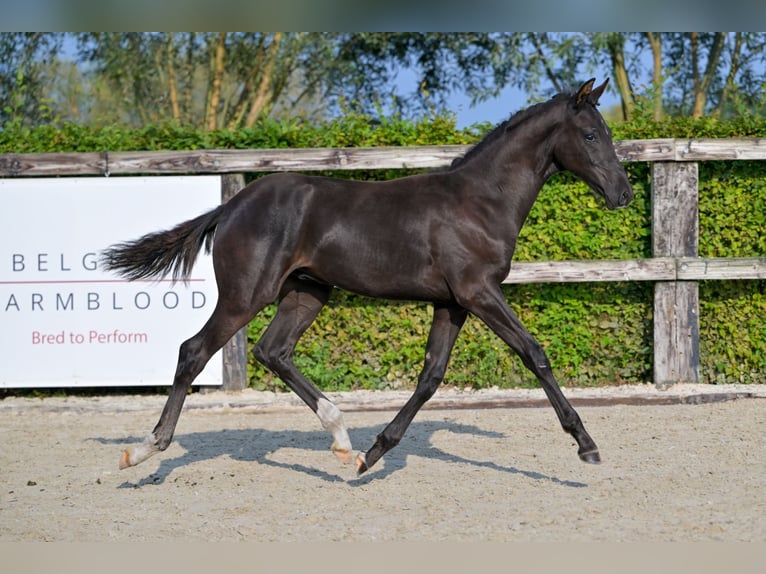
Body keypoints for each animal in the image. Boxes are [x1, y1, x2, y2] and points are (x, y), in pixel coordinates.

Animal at [102, 79, 632, 480]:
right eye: (590, 134)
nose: (623, 194)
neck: (481, 200)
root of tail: (231, 206)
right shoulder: (478, 292)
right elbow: (534, 354)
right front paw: (586, 444)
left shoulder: (452, 302)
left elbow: (431, 376)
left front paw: (372, 453)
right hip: (245, 295)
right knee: (194, 351)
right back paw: (144, 450)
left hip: (307, 292)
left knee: (273, 351)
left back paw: (341, 437)